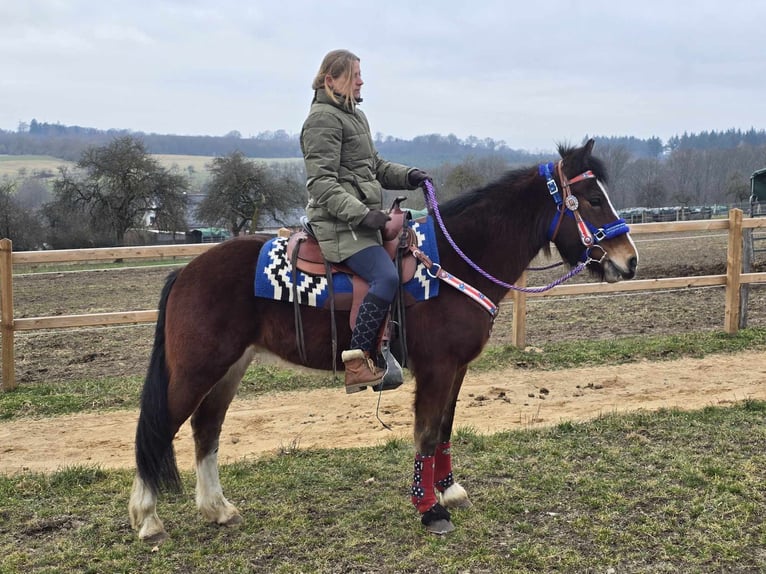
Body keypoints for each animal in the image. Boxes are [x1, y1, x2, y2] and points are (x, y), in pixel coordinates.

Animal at [129, 140, 640, 544]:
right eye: (593, 198)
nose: (630, 261)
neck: (455, 259)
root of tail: (186, 272)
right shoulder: (436, 369)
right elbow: (427, 433)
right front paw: (429, 508)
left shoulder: (457, 369)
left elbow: (445, 430)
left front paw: (448, 489)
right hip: (197, 371)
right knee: (158, 428)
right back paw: (148, 518)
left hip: (230, 368)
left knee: (206, 430)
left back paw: (217, 509)